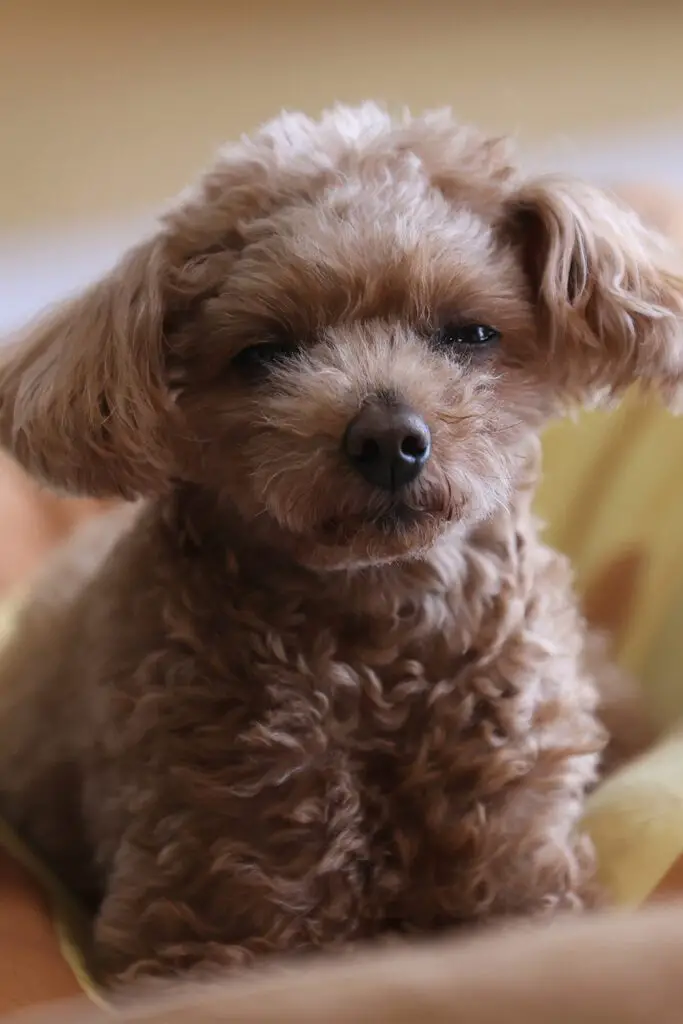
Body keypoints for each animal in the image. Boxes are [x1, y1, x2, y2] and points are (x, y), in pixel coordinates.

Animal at [1, 103, 683, 983]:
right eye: (264, 353)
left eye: (471, 332)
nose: (388, 439)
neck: (376, 625)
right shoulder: (202, 913)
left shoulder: (519, 870)